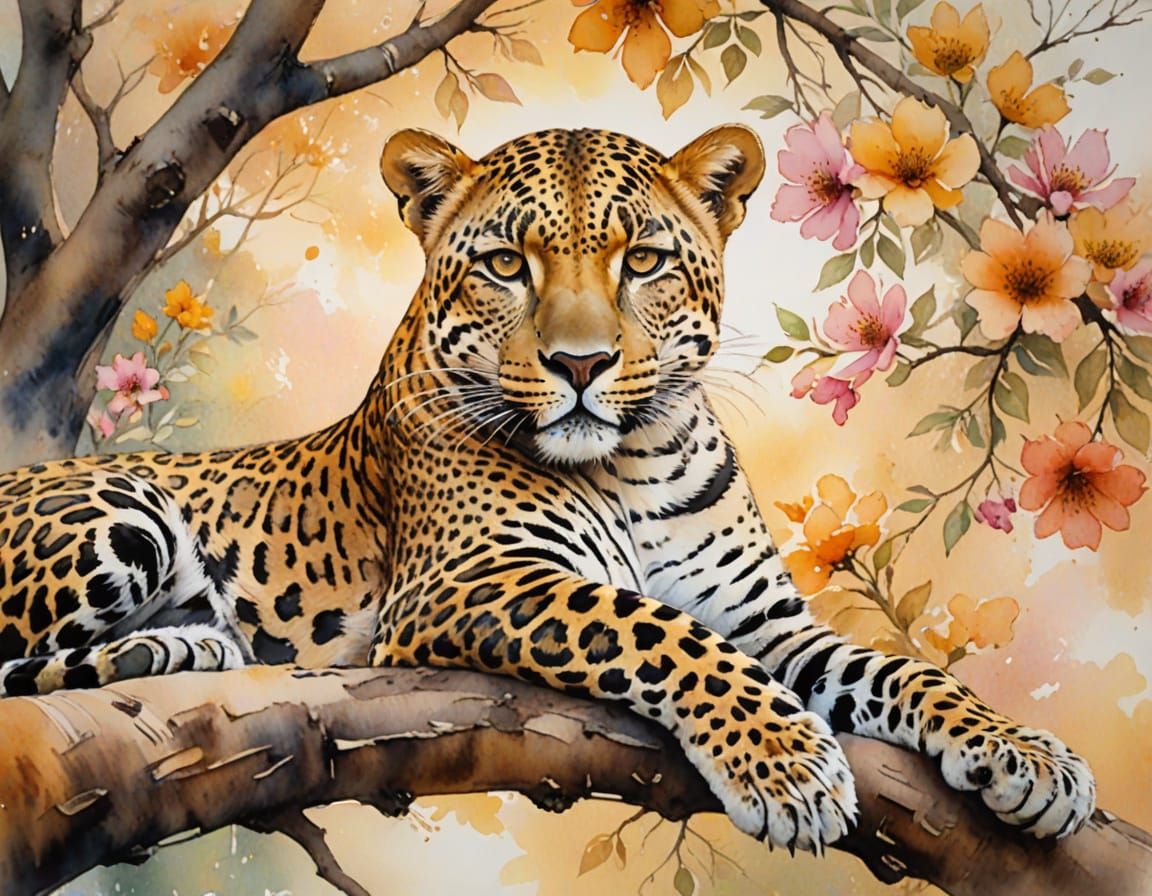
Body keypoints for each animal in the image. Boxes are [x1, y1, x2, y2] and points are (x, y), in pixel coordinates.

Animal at [0, 124, 1094, 853]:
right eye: (503, 264)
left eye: (643, 259)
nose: (580, 363)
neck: (637, 461)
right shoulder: (473, 580)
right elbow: (657, 630)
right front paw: (786, 762)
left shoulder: (769, 621)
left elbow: (900, 671)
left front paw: (1026, 754)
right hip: (121, 508)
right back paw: (165, 646)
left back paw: (181, 646)